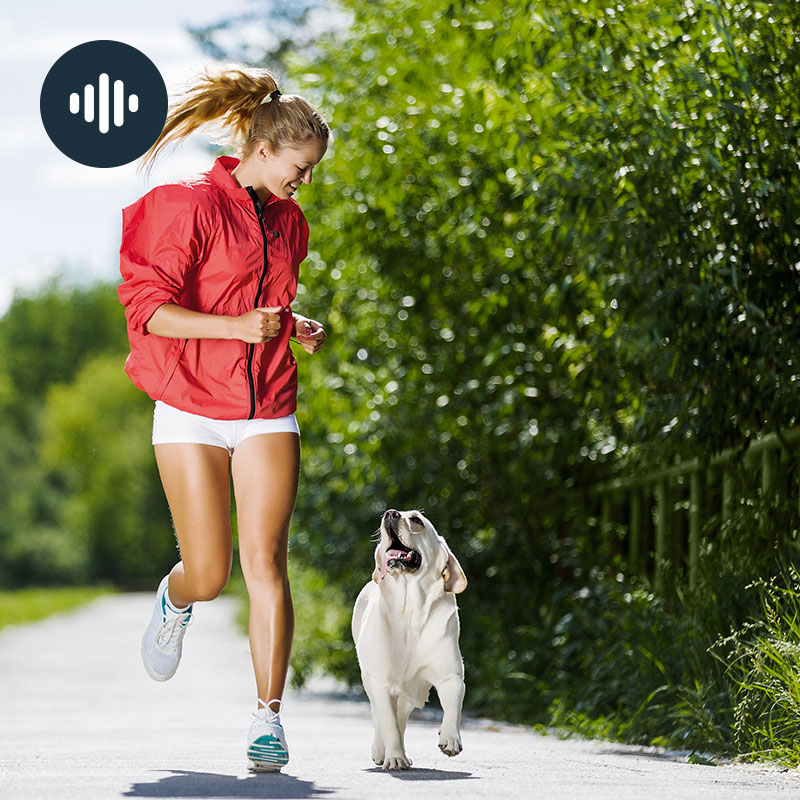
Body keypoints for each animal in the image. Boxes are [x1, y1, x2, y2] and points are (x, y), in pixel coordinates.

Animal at [352, 510, 468, 772]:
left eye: (416, 520)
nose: (389, 514)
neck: (410, 609)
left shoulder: (450, 676)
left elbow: (453, 707)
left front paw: (450, 738)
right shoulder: (382, 683)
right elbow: (388, 724)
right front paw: (394, 757)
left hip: (411, 693)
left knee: (401, 717)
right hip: (370, 680)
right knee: (380, 717)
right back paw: (382, 750)